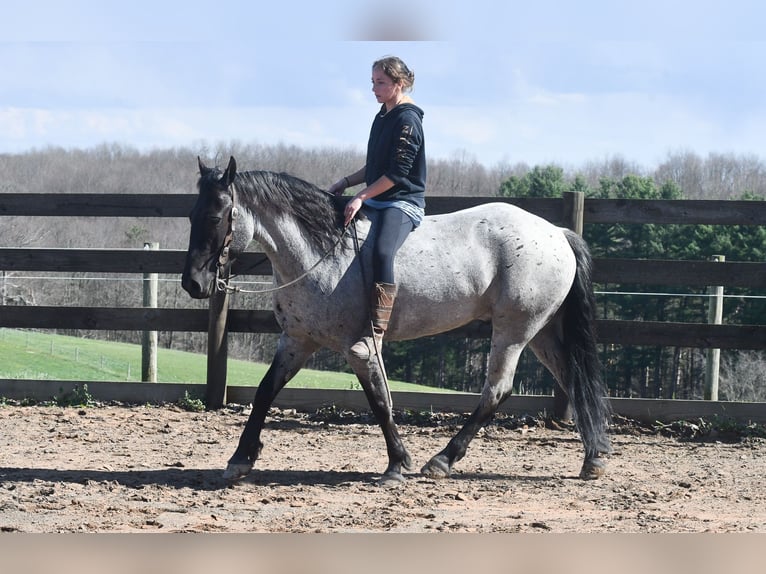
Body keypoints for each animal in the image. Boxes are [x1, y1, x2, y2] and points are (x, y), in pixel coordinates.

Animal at [182, 156, 612, 486]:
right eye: (191, 215)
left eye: (217, 216)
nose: (193, 283)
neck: (322, 252)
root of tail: (557, 232)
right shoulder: (298, 340)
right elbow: (264, 392)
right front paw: (240, 458)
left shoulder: (360, 347)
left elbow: (379, 401)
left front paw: (397, 464)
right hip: (542, 332)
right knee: (572, 379)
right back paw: (594, 457)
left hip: (514, 331)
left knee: (497, 391)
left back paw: (442, 460)